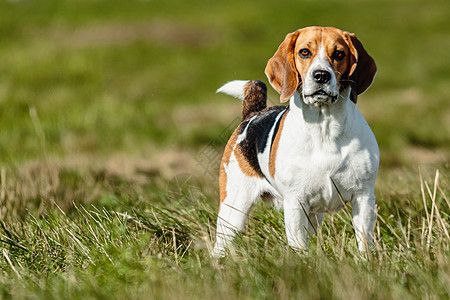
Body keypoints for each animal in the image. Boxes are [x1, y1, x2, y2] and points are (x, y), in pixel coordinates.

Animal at [213, 26, 378, 255]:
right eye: (304, 52)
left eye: (339, 54)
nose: (321, 75)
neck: (324, 129)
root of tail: (252, 114)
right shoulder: (295, 203)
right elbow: (298, 245)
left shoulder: (363, 198)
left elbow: (364, 242)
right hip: (234, 210)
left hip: (314, 218)